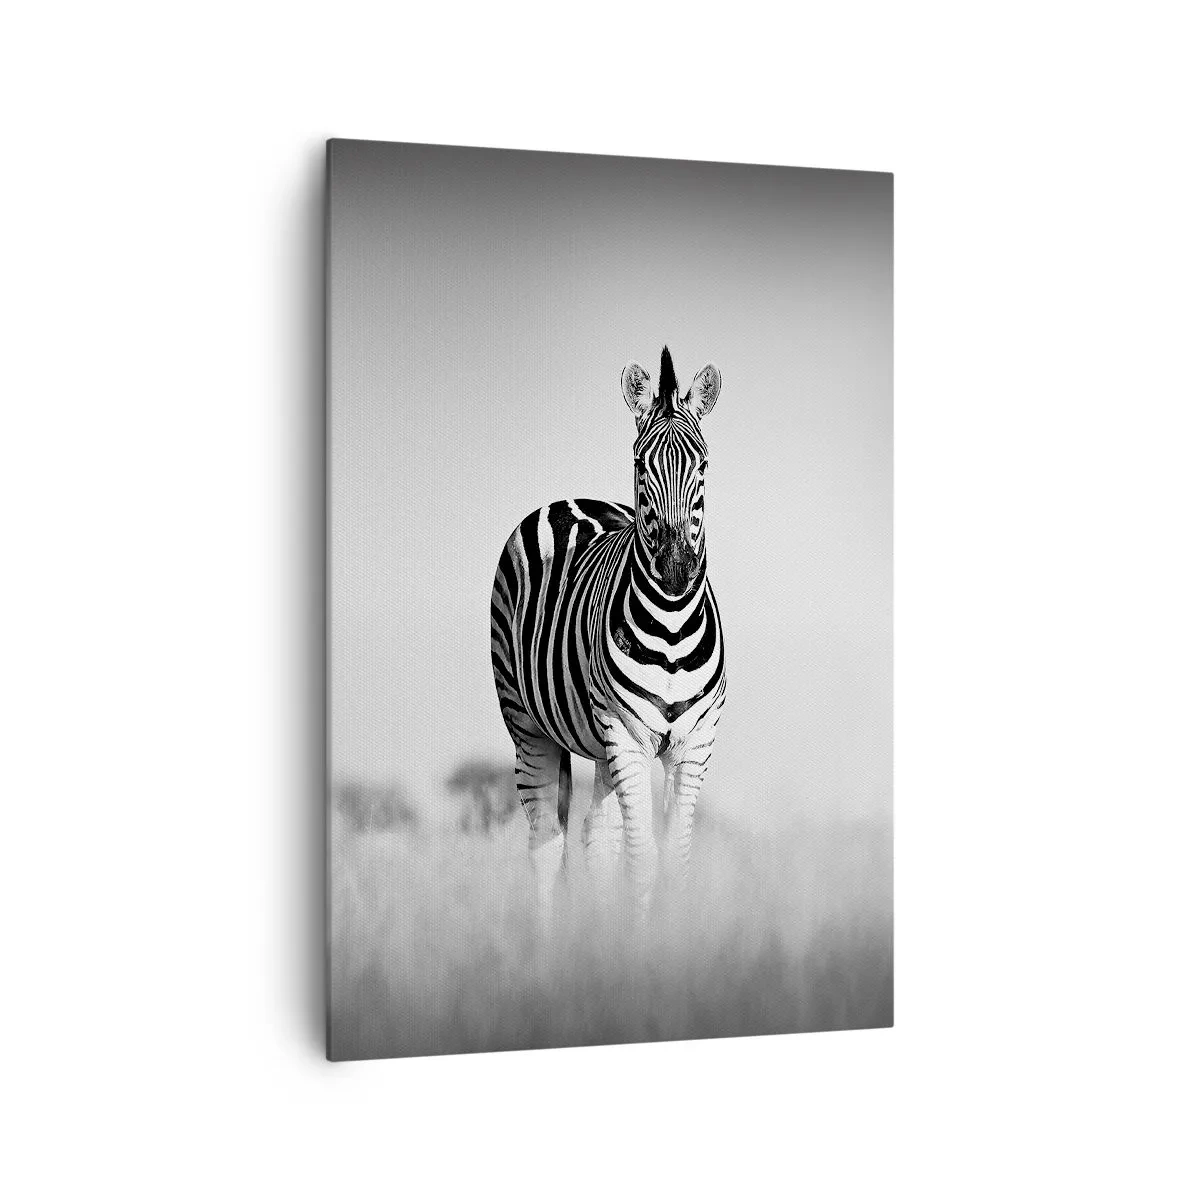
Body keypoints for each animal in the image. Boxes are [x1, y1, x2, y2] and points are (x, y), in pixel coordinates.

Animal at [490, 346, 726, 918]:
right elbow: (642, 862)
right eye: (641, 464)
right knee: (546, 844)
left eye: (703, 464)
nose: (677, 569)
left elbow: (674, 862)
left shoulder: (695, 743)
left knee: (596, 843)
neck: (671, 628)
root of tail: (570, 499)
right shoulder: (627, 735)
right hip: (526, 722)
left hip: (599, 748)